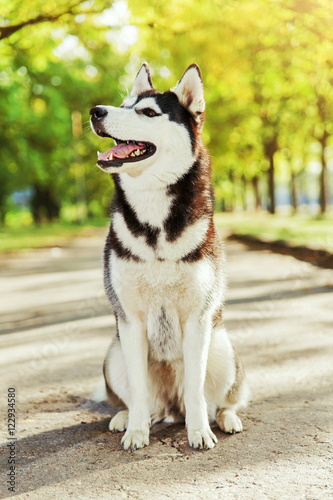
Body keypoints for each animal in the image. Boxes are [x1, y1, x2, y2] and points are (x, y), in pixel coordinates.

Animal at [89, 63, 248, 454]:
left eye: (148, 113)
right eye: (123, 105)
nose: (96, 111)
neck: (154, 216)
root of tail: (170, 409)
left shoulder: (197, 318)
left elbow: (195, 388)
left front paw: (199, 431)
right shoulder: (129, 320)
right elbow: (137, 389)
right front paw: (135, 431)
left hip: (222, 348)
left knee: (221, 398)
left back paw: (225, 418)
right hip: (113, 353)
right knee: (137, 400)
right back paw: (126, 417)